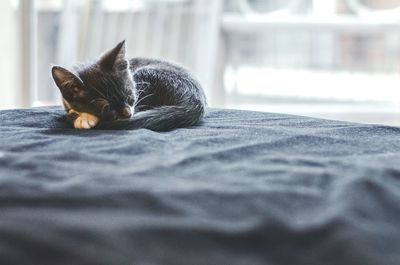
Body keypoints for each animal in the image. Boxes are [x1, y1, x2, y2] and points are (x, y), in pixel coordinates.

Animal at [50, 40, 206, 130]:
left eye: (130, 95)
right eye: (106, 107)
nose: (127, 114)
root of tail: (195, 99)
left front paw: (84, 118)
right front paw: (80, 115)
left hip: (146, 72)